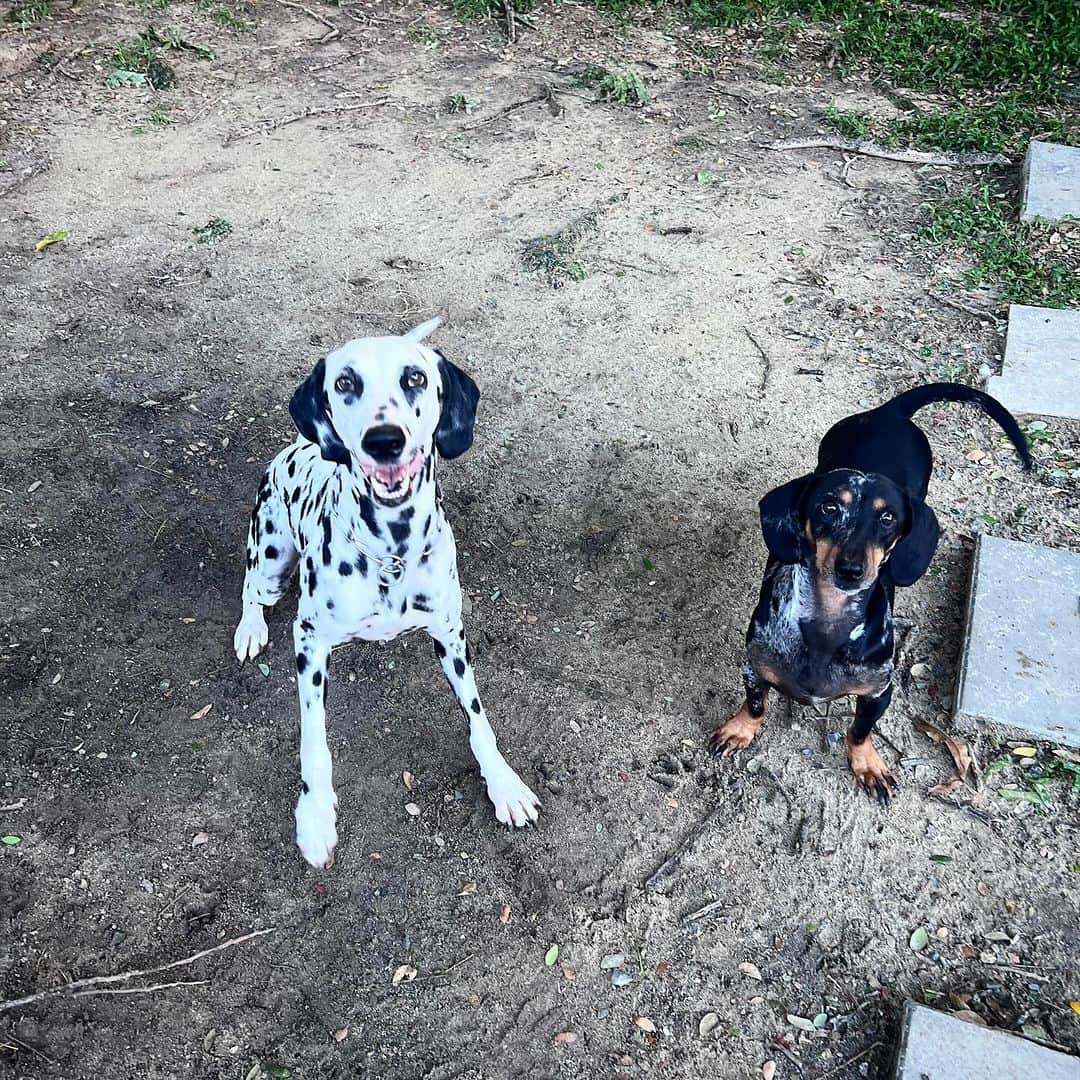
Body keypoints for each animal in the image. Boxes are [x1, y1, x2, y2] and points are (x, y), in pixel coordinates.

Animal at [233, 319, 544, 868]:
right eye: (345, 382)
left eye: (415, 377)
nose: (383, 440)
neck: (390, 547)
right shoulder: (309, 641)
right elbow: (314, 739)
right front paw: (315, 816)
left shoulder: (451, 635)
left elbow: (478, 718)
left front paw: (503, 782)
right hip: (269, 554)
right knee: (252, 590)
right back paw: (249, 628)